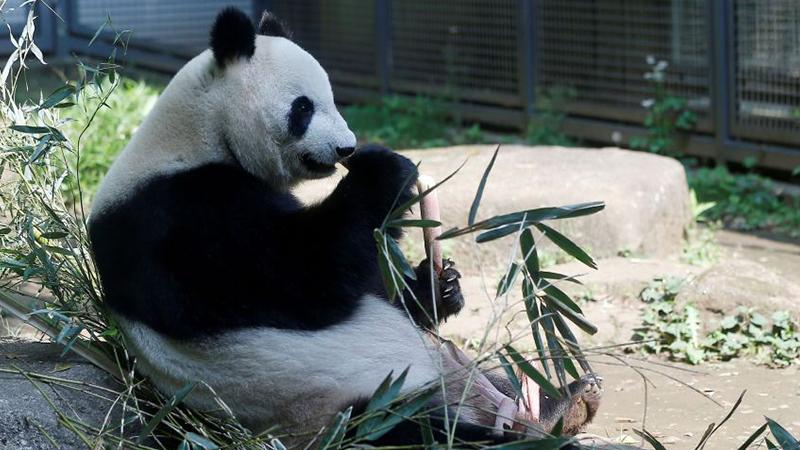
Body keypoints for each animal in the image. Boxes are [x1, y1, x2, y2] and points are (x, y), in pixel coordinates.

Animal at [89, 6, 600, 446]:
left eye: (333, 99)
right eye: (303, 108)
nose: (346, 149)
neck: (198, 133)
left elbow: (370, 279)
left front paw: (441, 286)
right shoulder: (179, 216)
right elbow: (306, 274)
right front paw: (387, 170)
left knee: (506, 381)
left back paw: (563, 403)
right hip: (352, 407)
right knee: (427, 435)